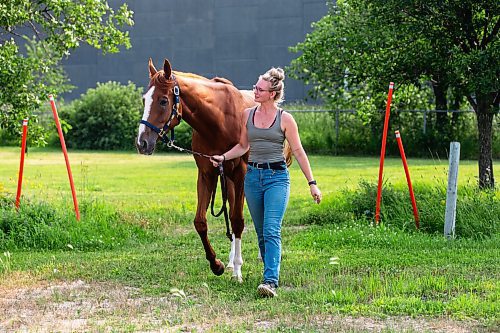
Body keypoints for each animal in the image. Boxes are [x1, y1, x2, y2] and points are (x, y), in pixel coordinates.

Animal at [136, 57, 256, 280]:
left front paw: (238, 272)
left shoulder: (241, 174)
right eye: (144, 99)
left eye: (163, 101)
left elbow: (237, 220)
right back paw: (230, 262)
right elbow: (200, 222)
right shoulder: (207, 174)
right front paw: (217, 264)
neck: (220, 121)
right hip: (227, 181)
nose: (142, 143)